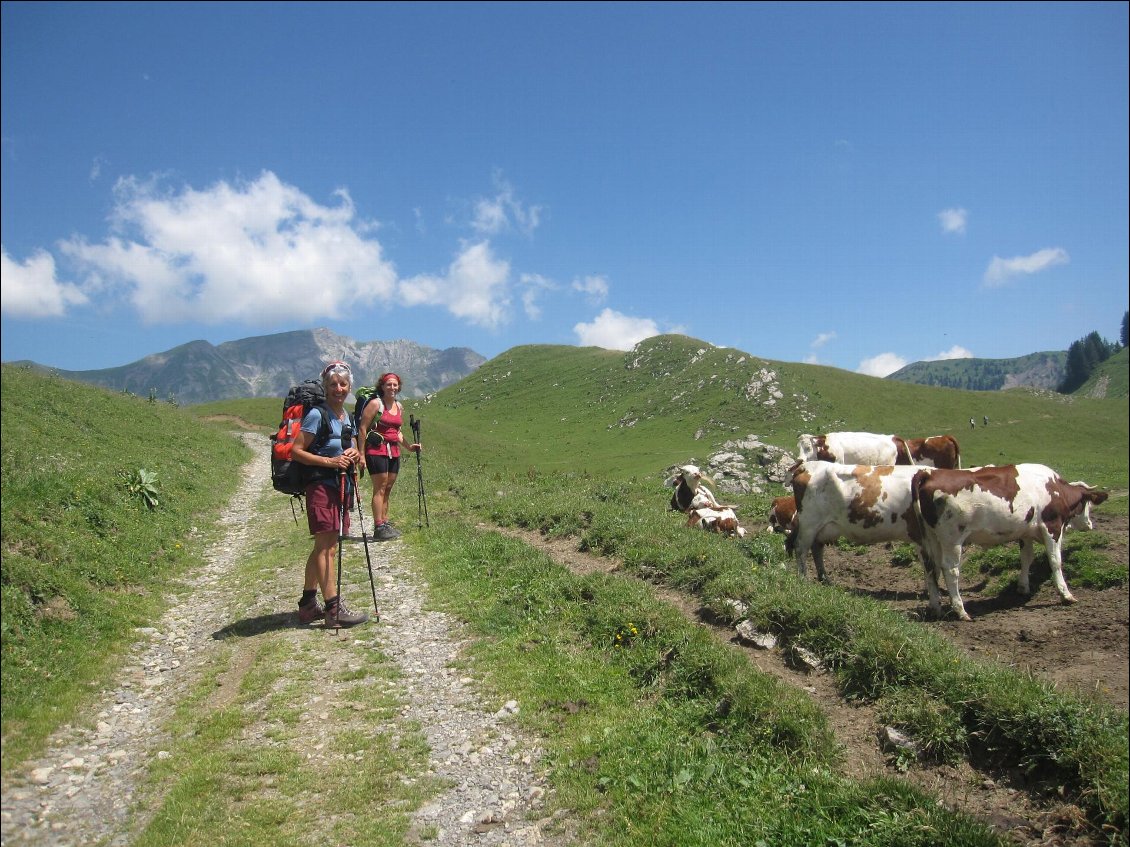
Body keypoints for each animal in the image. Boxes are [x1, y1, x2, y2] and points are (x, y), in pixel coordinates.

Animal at [786, 465, 926, 582]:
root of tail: (806, 467)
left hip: (822, 528)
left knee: (816, 548)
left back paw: (824, 578)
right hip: (809, 524)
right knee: (801, 547)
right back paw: (804, 579)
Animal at [913, 465, 1107, 623]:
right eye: (1087, 504)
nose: (1089, 524)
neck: (1055, 488)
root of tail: (930, 473)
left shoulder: (1025, 532)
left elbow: (1026, 558)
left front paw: (1023, 587)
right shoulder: (1052, 527)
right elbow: (1055, 561)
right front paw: (1065, 594)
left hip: (930, 539)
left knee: (931, 568)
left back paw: (935, 608)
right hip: (952, 538)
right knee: (950, 570)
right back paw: (961, 611)